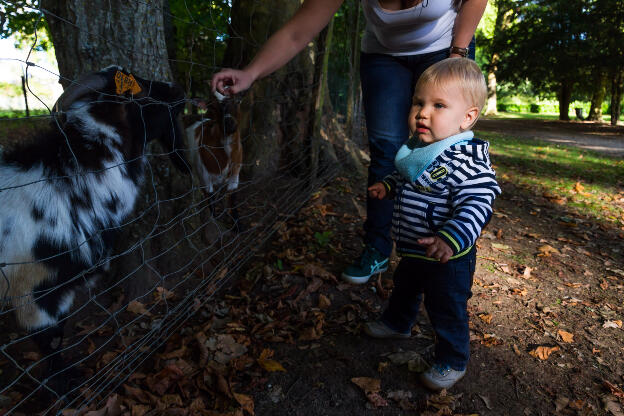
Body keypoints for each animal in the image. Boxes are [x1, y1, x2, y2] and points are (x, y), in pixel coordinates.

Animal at [184, 91, 243, 229]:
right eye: (214, 107)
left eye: (237, 101)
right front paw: (215, 222)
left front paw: (237, 226)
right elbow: (210, 201)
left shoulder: (235, 175)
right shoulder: (205, 175)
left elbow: (233, 200)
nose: (229, 124)